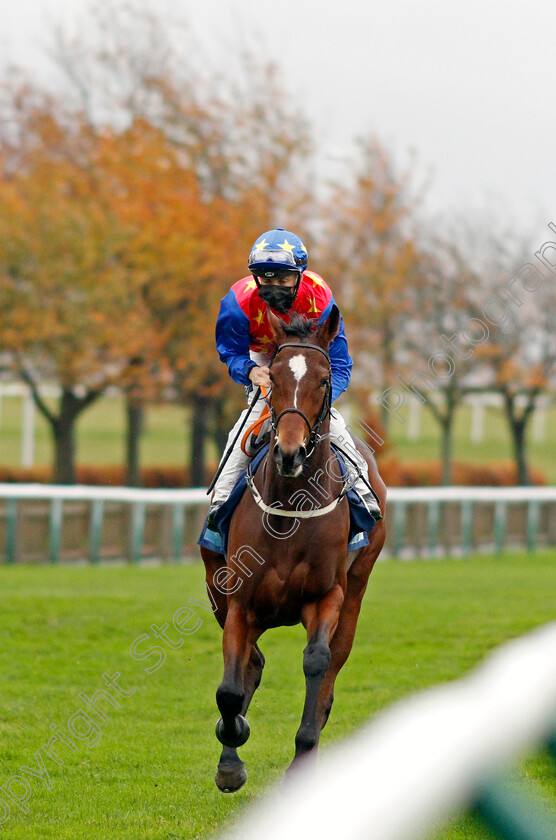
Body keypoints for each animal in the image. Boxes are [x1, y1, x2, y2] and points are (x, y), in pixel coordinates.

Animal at [200, 306, 386, 792]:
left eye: (323, 379)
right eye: (275, 378)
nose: (289, 452)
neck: (288, 511)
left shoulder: (327, 597)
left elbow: (317, 664)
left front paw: (302, 756)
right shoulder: (239, 602)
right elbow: (231, 687)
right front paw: (231, 758)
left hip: (357, 588)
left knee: (333, 668)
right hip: (216, 590)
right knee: (251, 663)